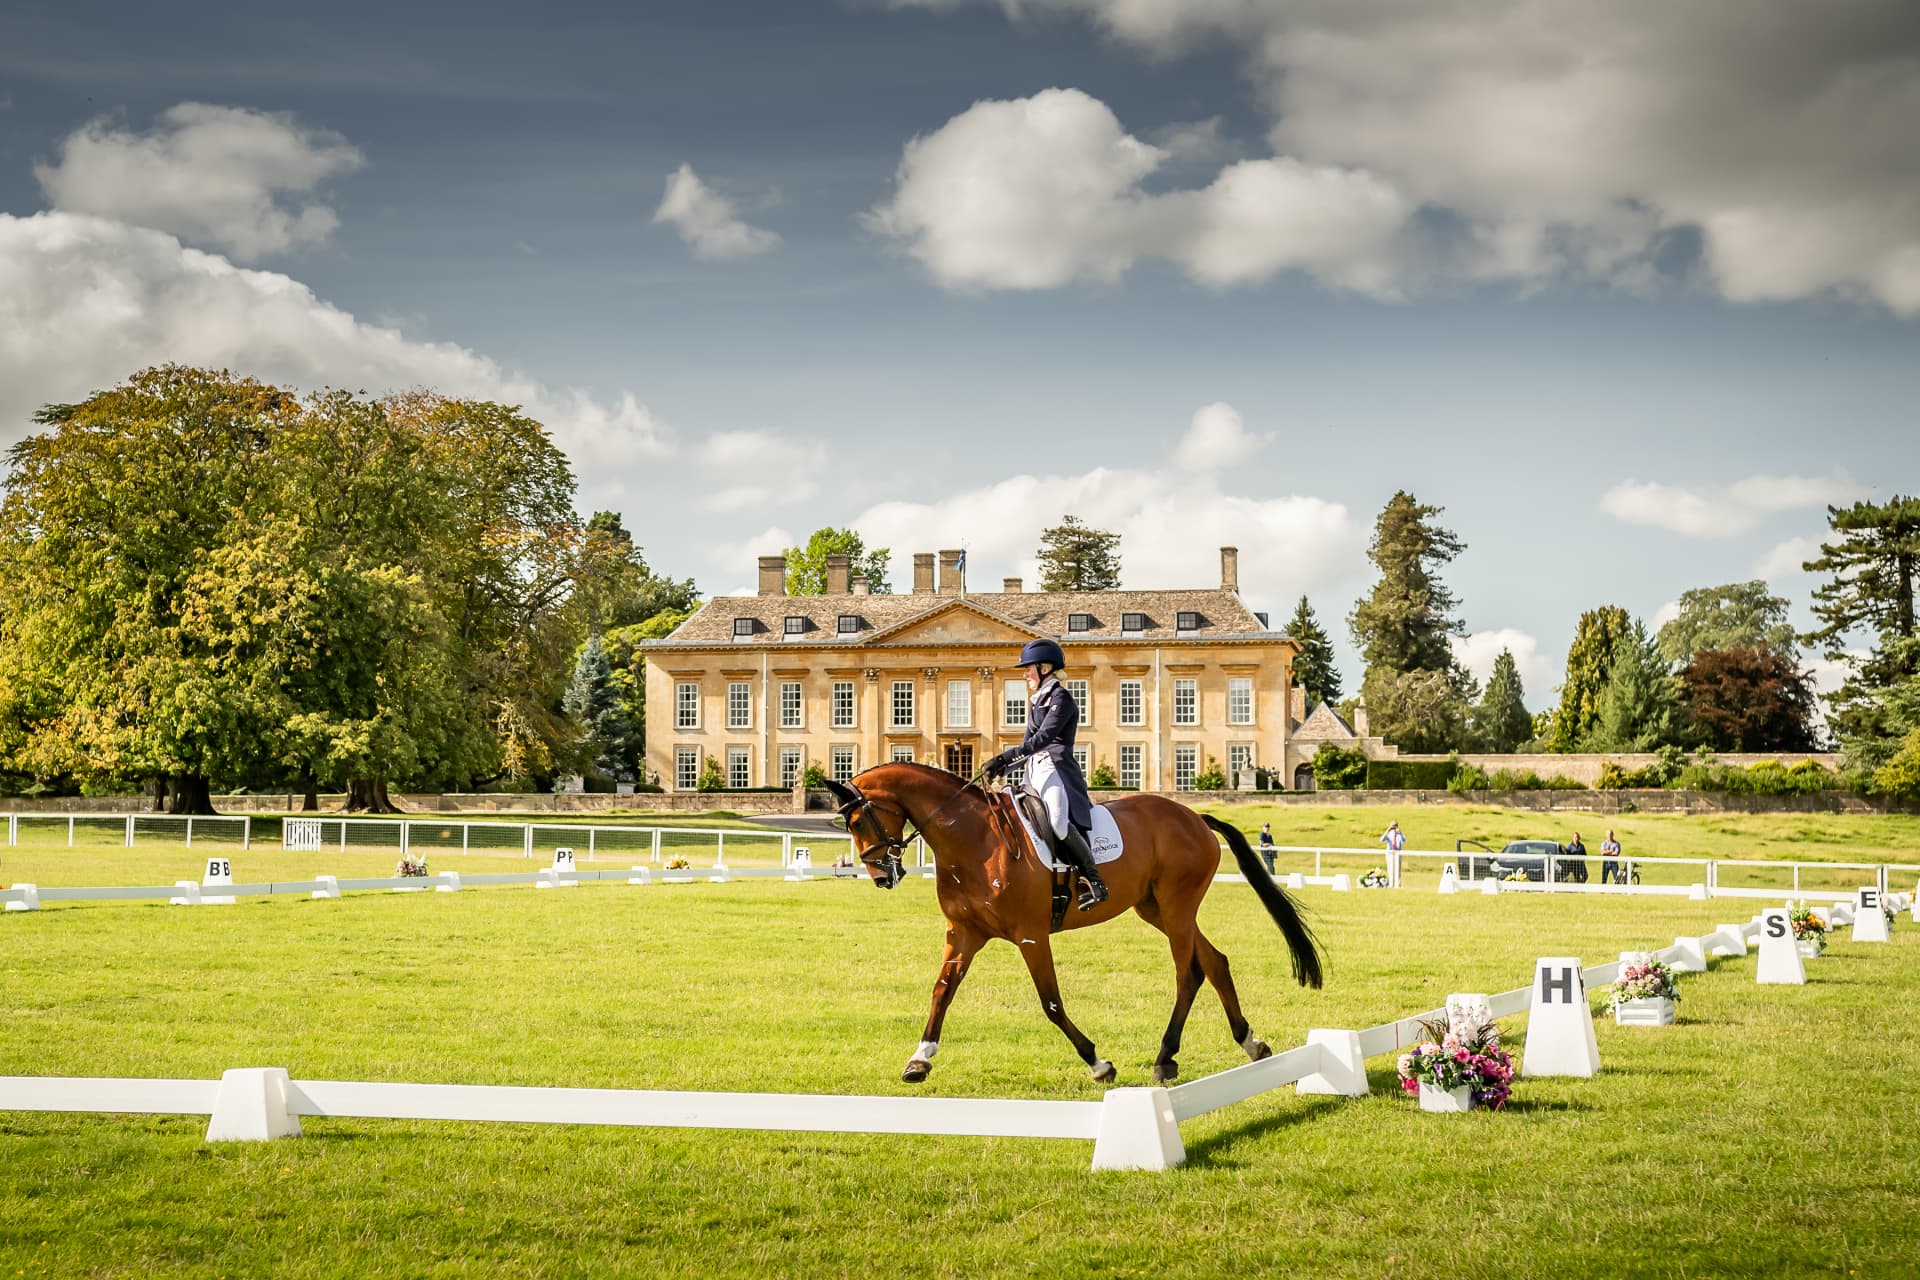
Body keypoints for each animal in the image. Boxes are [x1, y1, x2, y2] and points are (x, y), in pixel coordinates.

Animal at [817, 767, 1328, 1090]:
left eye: (859, 818)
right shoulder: (962, 934)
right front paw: (919, 1059)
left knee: (1188, 973)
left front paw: (1099, 1063)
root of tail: (1192, 816)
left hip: (1177, 905)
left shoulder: (1030, 935)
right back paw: (1250, 1042)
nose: (881, 876)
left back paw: (1165, 1058)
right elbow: (942, 991)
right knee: (1214, 963)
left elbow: (1051, 1003)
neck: (973, 840)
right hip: (1156, 909)